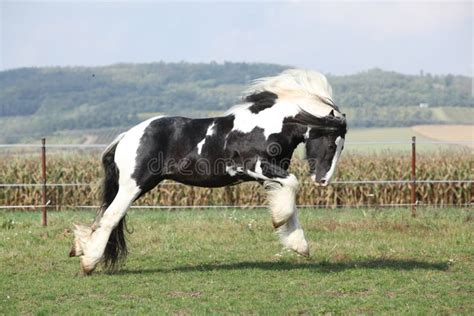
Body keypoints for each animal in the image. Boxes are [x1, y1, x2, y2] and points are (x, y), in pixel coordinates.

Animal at [68, 69, 346, 274]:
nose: (323, 180)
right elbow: (293, 185)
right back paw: (89, 262)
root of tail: (126, 136)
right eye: (333, 144)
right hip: (133, 186)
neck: (266, 126)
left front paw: (299, 245)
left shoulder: (270, 175)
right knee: (109, 217)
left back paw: (79, 248)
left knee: (102, 218)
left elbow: (288, 197)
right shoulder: (253, 167)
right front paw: (281, 223)